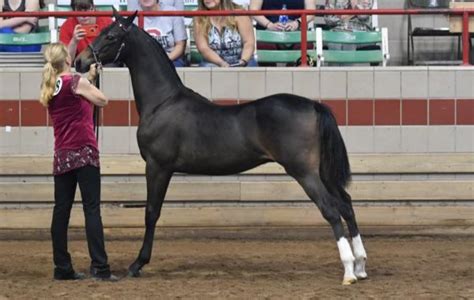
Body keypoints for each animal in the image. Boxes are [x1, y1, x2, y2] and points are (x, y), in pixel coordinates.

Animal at [76, 9, 368, 286]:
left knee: (331, 210)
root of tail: (314, 105)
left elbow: (151, 213)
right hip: (323, 172)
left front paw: (138, 264)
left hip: (305, 173)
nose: (81, 61)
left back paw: (348, 271)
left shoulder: (158, 167)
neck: (163, 102)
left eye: (111, 36)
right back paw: (361, 266)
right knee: (346, 205)